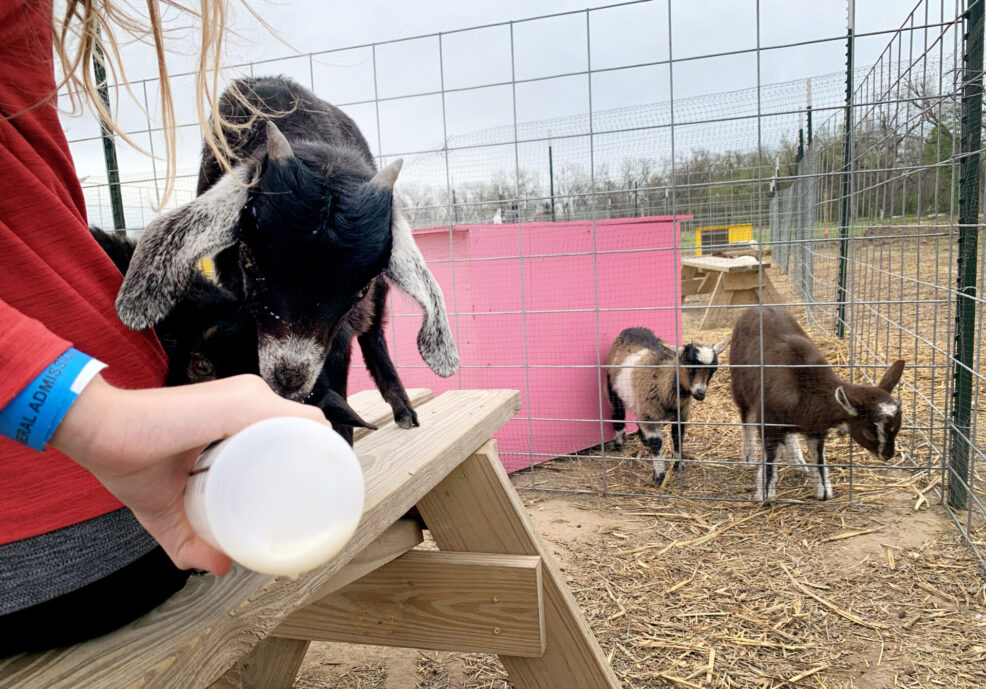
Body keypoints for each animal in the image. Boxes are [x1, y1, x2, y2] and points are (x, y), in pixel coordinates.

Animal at [600, 330, 732, 484]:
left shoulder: (680, 413)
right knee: (618, 414)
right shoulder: (650, 413)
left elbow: (678, 437)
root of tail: (632, 329)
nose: (700, 393)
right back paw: (619, 444)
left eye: (713, 370)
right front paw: (659, 475)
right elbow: (657, 442)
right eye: (689, 366)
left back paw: (643, 440)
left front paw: (678, 465)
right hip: (612, 389)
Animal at [728, 306, 904, 500]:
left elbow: (818, 459)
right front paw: (765, 494)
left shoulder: (816, 428)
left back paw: (796, 460)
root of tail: (755, 308)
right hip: (740, 388)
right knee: (747, 420)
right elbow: (770, 460)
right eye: (869, 432)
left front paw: (824, 492)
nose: (888, 455)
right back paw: (748, 457)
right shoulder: (769, 422)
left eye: (898, 427)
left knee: (789, 434)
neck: (807, 388)